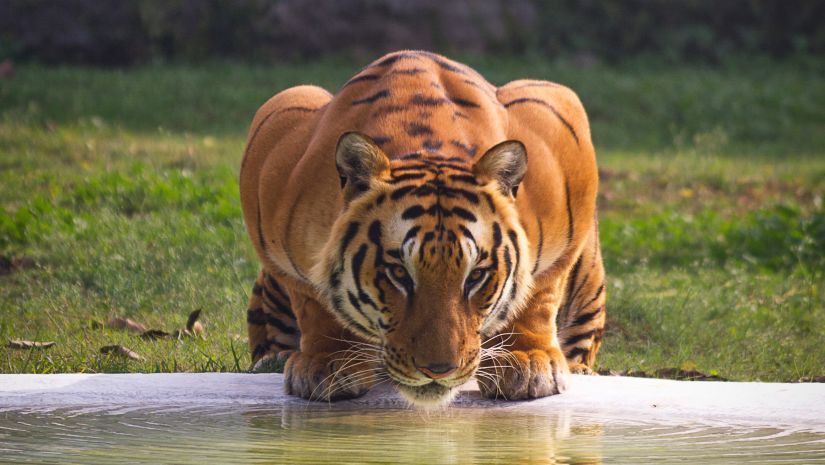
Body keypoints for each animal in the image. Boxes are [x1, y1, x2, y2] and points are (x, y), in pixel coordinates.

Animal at [238, 51, 604, 406]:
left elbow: (539, 292)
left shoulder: (560, 125)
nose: (438, 370)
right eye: (399, 273)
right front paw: (327, 362)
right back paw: (275, 359)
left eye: (476, 276)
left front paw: (526, 361)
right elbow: (312, 300)